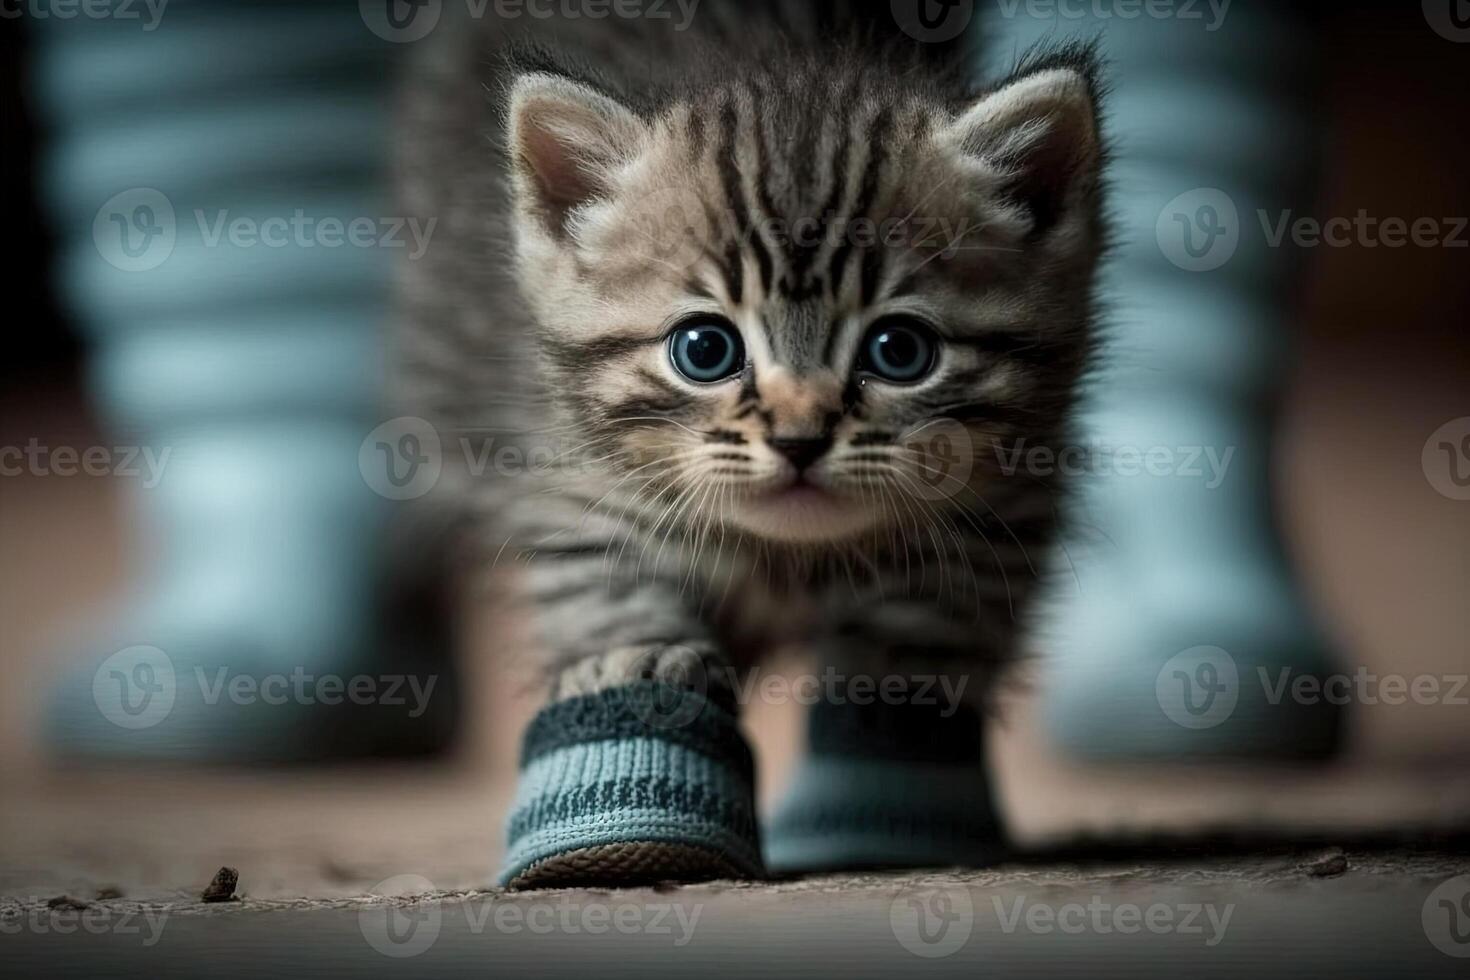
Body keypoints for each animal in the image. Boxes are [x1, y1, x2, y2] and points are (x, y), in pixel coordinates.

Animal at [391, 1, 1105, 887]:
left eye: (899, 351)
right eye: (706, 349)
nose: (799, 438)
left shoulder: (1005, 501)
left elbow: (914, 644)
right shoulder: (571, 475)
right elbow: (609, 596)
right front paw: (636, 681)